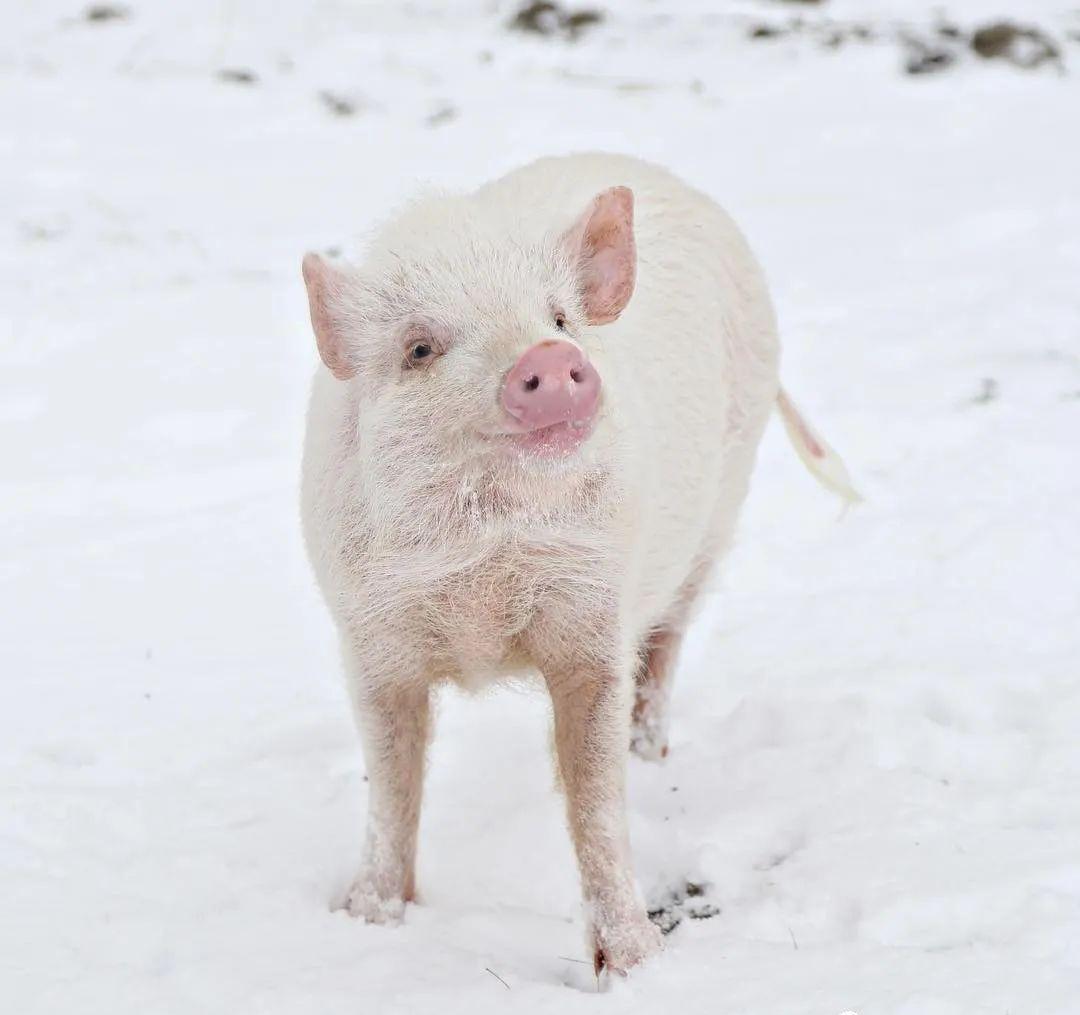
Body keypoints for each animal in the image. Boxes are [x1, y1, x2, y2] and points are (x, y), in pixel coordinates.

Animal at [300, 152, 855, 976]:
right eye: (419, 348)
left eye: (558, 318)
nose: (553, 358)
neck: (485, 578)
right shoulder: (370, 638)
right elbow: (392, 783)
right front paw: (367, 918)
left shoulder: (592, 618)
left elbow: (594, 792)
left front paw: (634, 964)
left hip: (717, 515)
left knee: (667, 641)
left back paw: (649, 752)